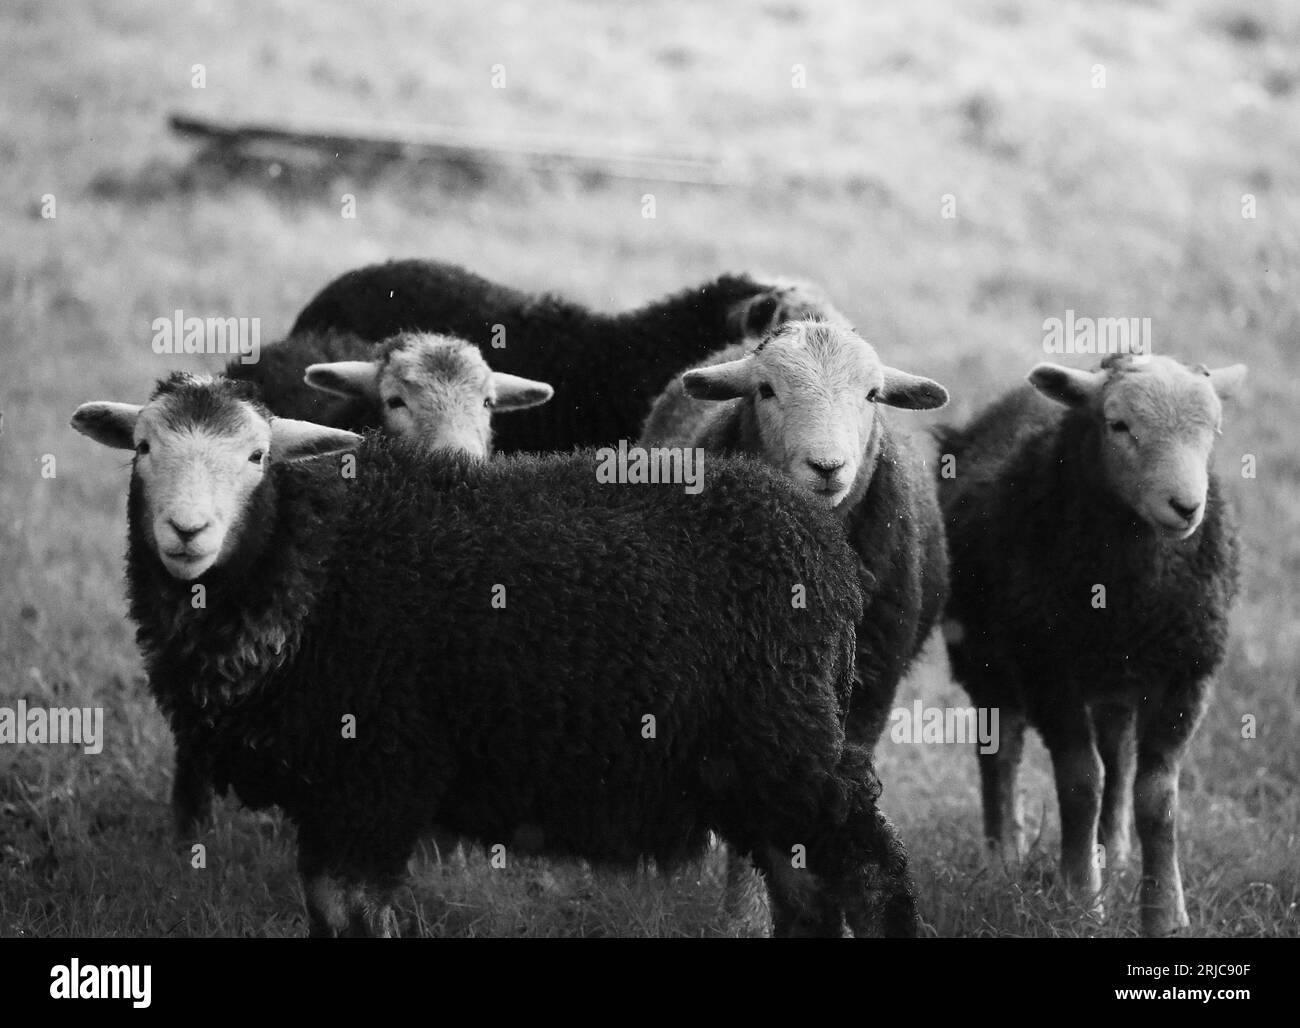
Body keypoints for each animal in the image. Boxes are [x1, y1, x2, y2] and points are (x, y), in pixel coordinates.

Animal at [70, 371, 921, 938]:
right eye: (142, 447)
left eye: (254, 458)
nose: (186, 533)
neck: (307, 556)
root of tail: (818, 542)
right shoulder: (334, 790)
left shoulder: (378, 770)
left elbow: (351, 909)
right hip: (758, 761)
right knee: (804, 884)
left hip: (783, 737)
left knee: (868, 872)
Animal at [936, 353, 1246, 937]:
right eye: (1118, 425)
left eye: (1215, 430)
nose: (1186, 507)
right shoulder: (1047, 669)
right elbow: (1081, 783)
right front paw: (1081, 898)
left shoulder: (1187, 675)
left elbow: (1157, 796)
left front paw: (1164, 912)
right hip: (984, 657)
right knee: (1001, 752)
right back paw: (1004, 855)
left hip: (1114, 680)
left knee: (1118, 757)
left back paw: (1115, 852)